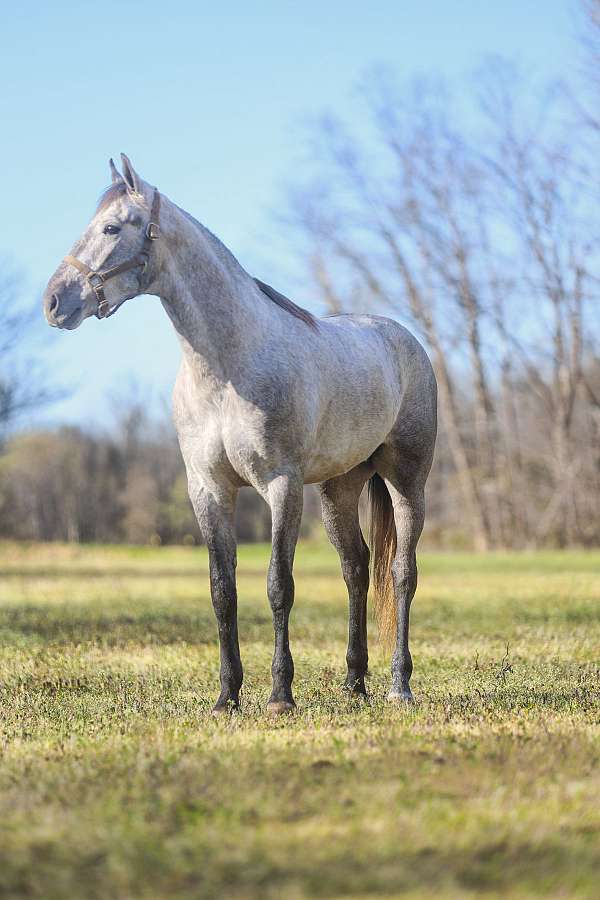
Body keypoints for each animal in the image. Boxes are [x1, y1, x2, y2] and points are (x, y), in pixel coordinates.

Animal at [42, 156, 436, 716]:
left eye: (113, 227)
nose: (55, 302)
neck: (229, 368)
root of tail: (405, 340)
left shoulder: (281, 486)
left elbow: (277, 586)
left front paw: (280, 696)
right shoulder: (208, 489)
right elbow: (221, 591)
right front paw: (227, 696)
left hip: (407, 481)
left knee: (402, 573)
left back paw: (399, 685)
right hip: (338, 490)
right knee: (356, 569)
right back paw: (354, 684)